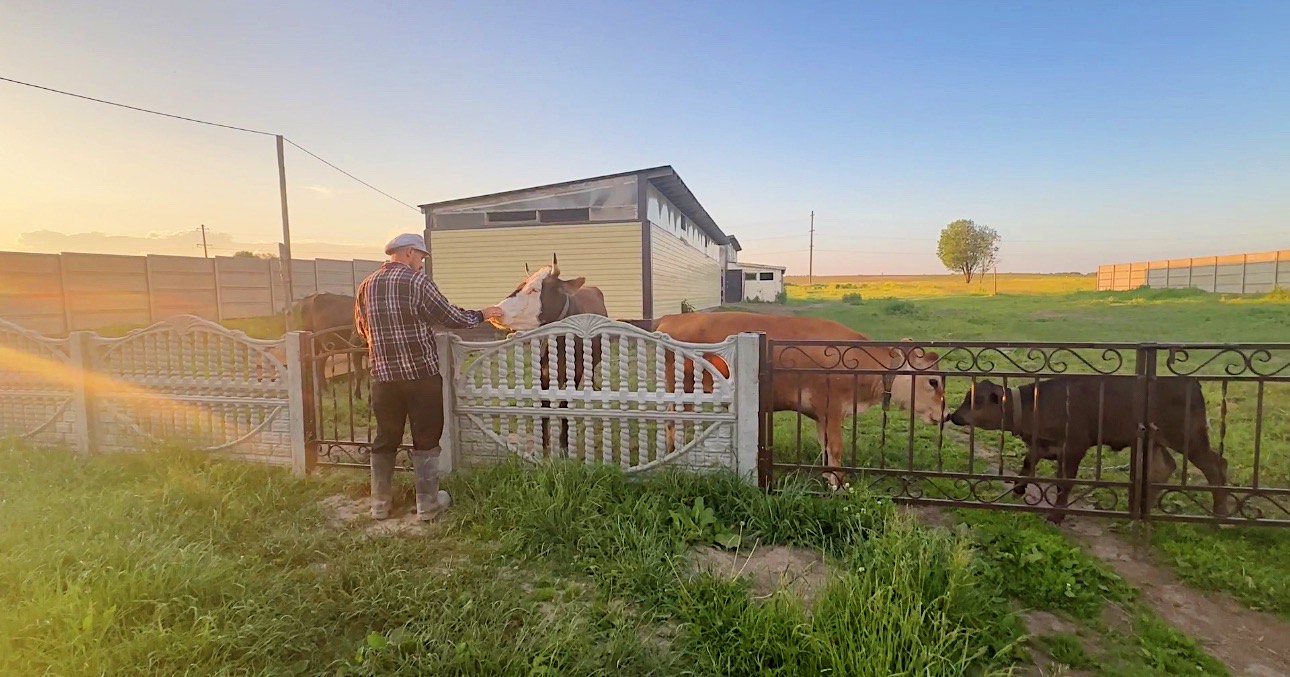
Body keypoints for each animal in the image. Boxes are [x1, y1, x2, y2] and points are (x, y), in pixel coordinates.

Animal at [495, 256, 611, 451]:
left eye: (535, 289)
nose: (497, 311)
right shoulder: (542, 372)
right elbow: (544, 404)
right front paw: (543, 445)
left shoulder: (575, 372)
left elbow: (565, 403)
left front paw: (563, 445)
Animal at [655, 308, 949, 487]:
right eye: (933, 381)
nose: (946, 414)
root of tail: (672, 318)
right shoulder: (833, 409)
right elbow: (836, 448)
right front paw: (840, 484)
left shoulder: (821, 415)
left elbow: (825, 446)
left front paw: (830, 478)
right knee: (672, 425)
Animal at [949, 373, 1228, 523]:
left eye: (976, 400)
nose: (953, 416)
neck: (1035, 406)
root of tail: (1192, 383)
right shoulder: (1043, 445)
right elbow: (1029, 463)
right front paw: (1019, 489)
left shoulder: (1074, 447)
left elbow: (1065, 482)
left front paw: (1056, 516)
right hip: (1154, 439)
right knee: (1165, 467)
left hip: (1188, 437)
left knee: (1216, 465)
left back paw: (1219, 516)